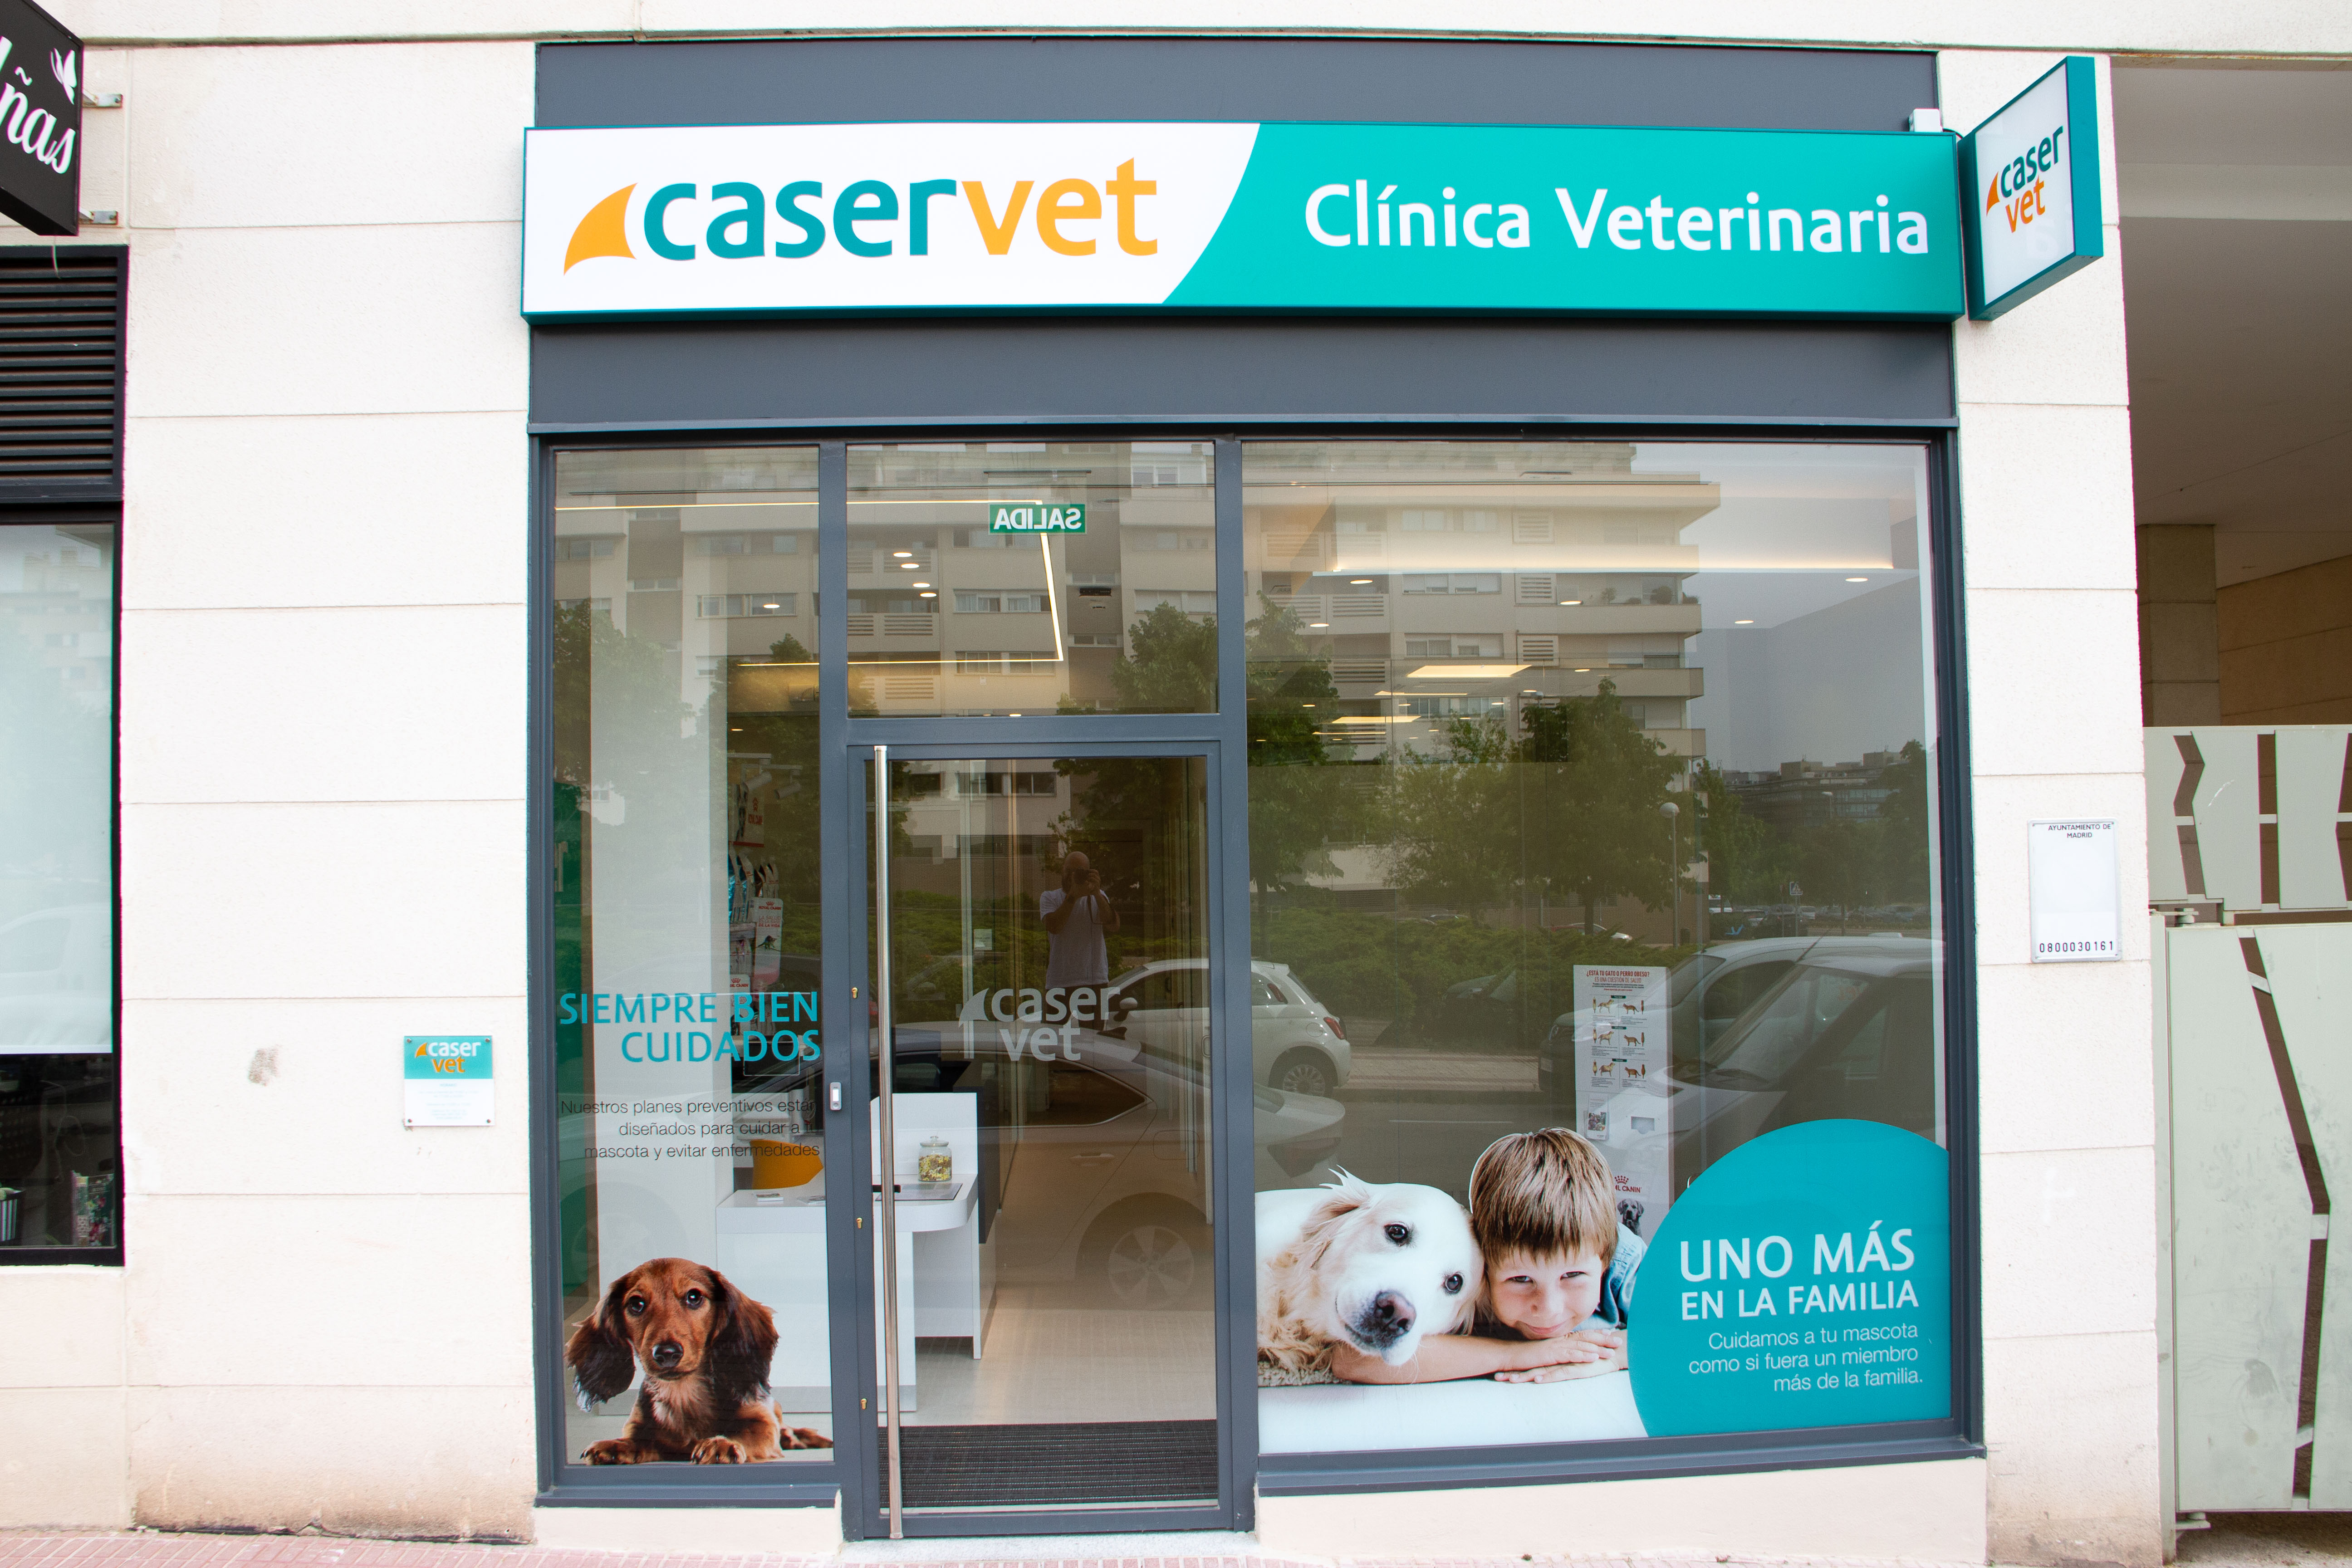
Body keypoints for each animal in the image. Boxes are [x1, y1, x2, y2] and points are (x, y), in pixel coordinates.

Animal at [565, 1257, 832, 1463]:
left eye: (694, 1297)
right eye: (636, 1304)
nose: (667, 1353)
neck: (683, 1393)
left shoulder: (761, 1422)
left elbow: (746, 1433)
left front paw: (722, 1443)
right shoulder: (641, 1428)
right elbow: (638, 1440)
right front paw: (616, 1446)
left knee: (785, 1427)